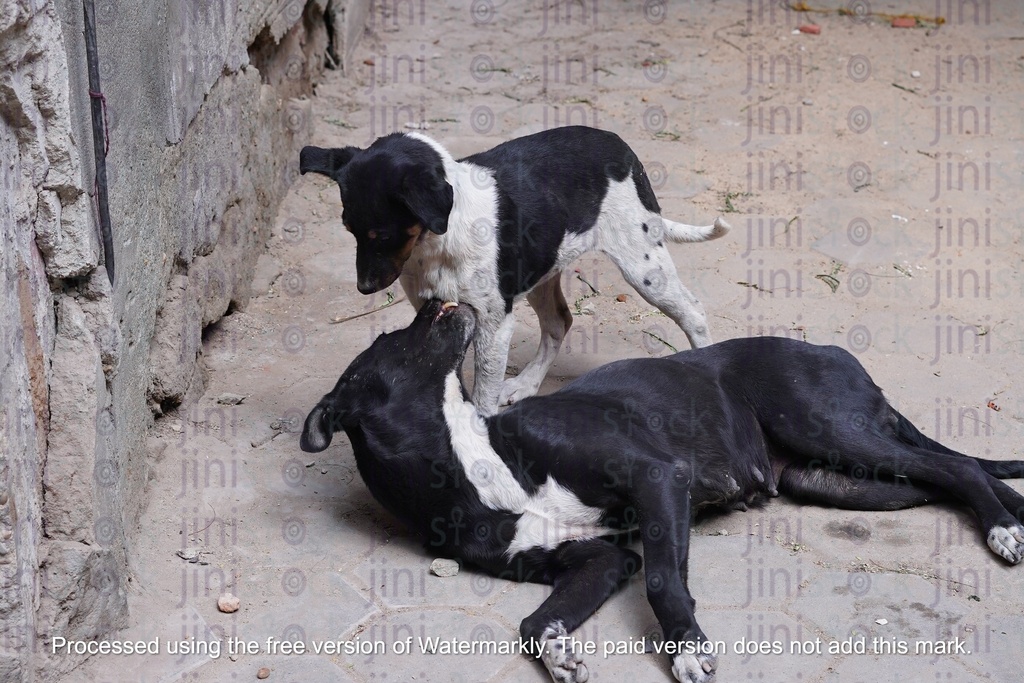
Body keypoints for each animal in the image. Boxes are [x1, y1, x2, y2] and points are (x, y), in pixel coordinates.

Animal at [299, 127, 733, 417]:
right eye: (349, 230)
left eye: (383, 234)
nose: (364, 287)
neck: (435, 242)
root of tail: (621, 146)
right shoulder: (437, 312)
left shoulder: (493, 324)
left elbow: (483, 391)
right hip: (541, 269)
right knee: (559, 322)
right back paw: (526, 384)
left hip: (644, 267)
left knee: (693, 312)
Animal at [301, 301, 1024, 683]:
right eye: (392, 337)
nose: (432, 302)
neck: (477, 465)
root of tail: (837, 353)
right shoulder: (600, 559)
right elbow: (534, 622)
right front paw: (559, 653)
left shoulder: (656, 480)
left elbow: (663, 581)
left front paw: (686, 646)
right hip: (841, 479)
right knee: (945, 473)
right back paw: (1006, 510)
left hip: (827, 425)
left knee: (959, 470)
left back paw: (1002, 528)